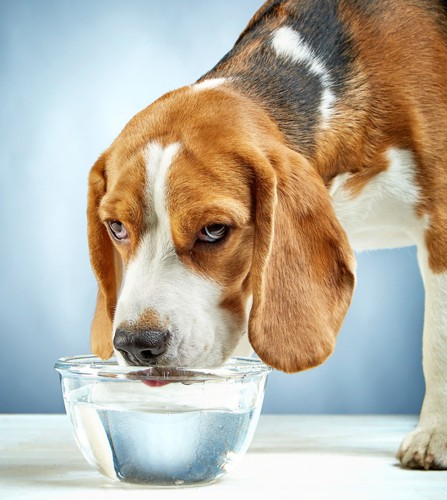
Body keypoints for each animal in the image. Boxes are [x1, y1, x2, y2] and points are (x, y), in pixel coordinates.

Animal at [87, 0, 447, 468]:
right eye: (116, 227)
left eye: (214, 230)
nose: (136, 345)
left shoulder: (442, 225)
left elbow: (437, 340)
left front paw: (436, 434)